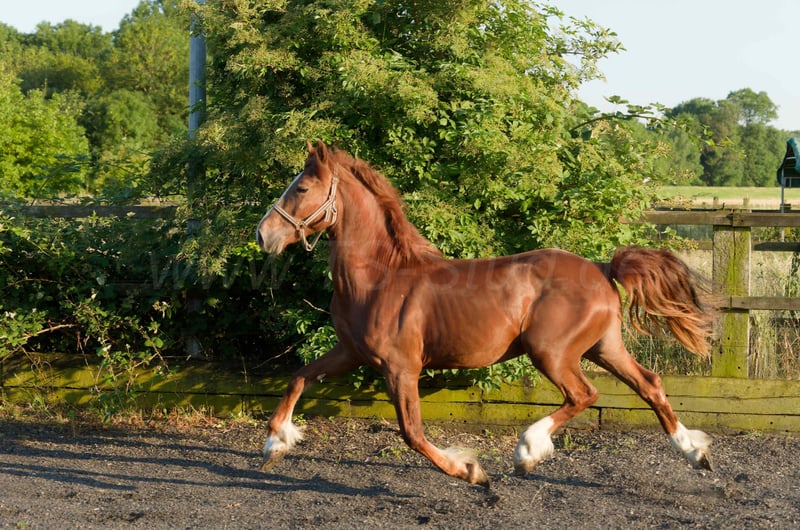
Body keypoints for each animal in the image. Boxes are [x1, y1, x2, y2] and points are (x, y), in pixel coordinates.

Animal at [255, 140, 715, 488]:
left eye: (302, 188)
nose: (264, 235)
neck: (380, 277)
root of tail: (603, 268)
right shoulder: (350, 353)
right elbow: (299, 378)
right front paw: (276, 442)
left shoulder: (401, 367)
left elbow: (412, 433)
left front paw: (472, 471)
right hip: (604, 347)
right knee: (649, 384)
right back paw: (694, 451)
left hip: (551, 352)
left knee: (584, 395)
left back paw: (528, 450)